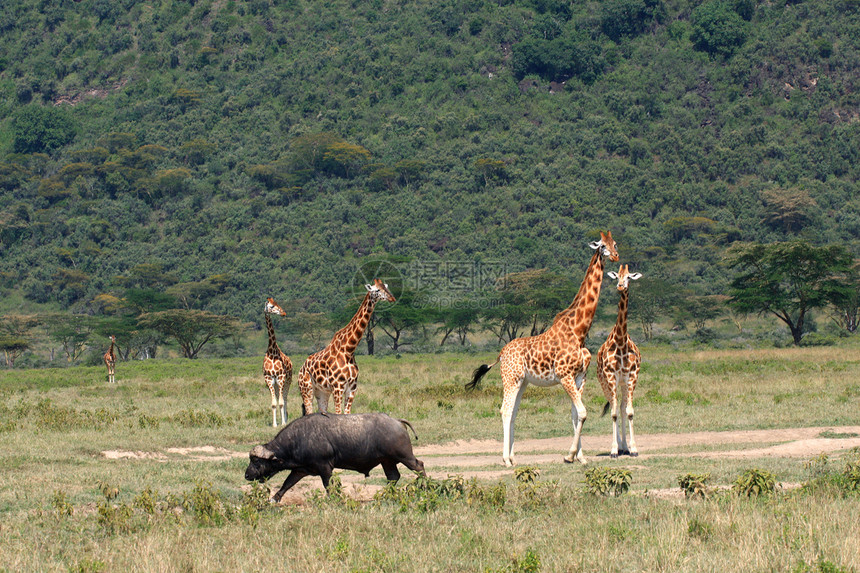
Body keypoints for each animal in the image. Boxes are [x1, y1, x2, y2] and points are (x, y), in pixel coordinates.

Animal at [298, 278, 396, 416]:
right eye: (377, 290)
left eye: (386, 286)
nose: (392, 298)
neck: (348, 350)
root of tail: (301, 368)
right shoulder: (338, 387)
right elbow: (339, 413)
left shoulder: (352, 388)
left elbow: (347, 413)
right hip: (306, 388)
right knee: (308, 411)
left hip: (322, 392)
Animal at [464, 229, 620, 464]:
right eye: (602, 246)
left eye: (615, 243)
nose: (615, 256)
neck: (579, 331)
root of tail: (501, 352)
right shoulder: (565, 375)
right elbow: (582, 413)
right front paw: (570, 455)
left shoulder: (580, 376)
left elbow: (576, 413)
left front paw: (581, 458)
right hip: (510, 378)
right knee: (505, 410)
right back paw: (506, 460)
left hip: (523, 381)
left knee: (514, 412)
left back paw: (514, 457)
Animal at [596, 266, 644, 458]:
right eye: (617, 276)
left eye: (629, 277)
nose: (620, 286)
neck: (621, 341)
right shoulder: (610, 377)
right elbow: (614, 413)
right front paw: (614, 450)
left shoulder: (632, 376)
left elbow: (628, 412)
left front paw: (634, 449)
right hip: (605, 383)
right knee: (614, 406)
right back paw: (620, 447)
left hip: (623, 383)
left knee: (623, 407)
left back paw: (625, 447)